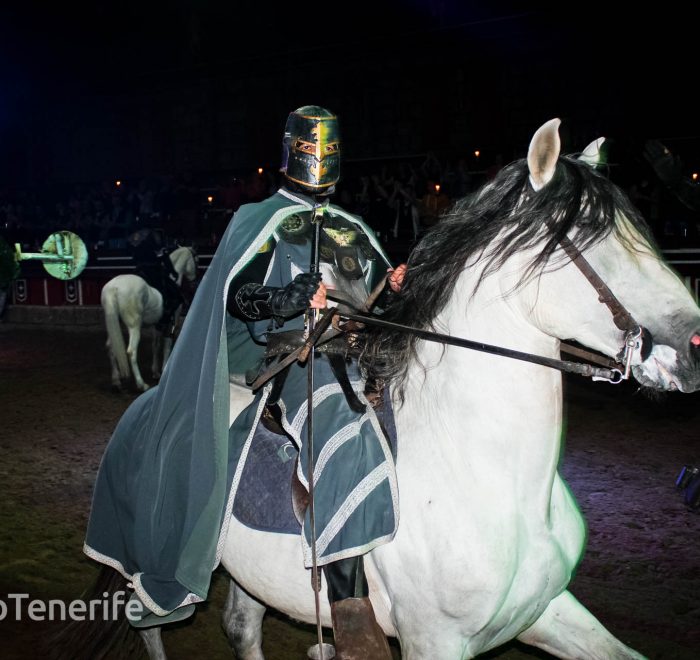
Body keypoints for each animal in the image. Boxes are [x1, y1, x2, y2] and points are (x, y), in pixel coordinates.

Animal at [100, 246, 197, 392]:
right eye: (196, 260)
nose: (194, 281)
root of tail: (114, 288)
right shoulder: (170, 323)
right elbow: (167, 346)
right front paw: (163, 371)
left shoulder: (157, 324)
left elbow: (155, 345)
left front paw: (155, 372)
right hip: (134, 326)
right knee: (131, 352)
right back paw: (142, 384)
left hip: (114, 324)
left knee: (110, 348)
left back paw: (116, 382)